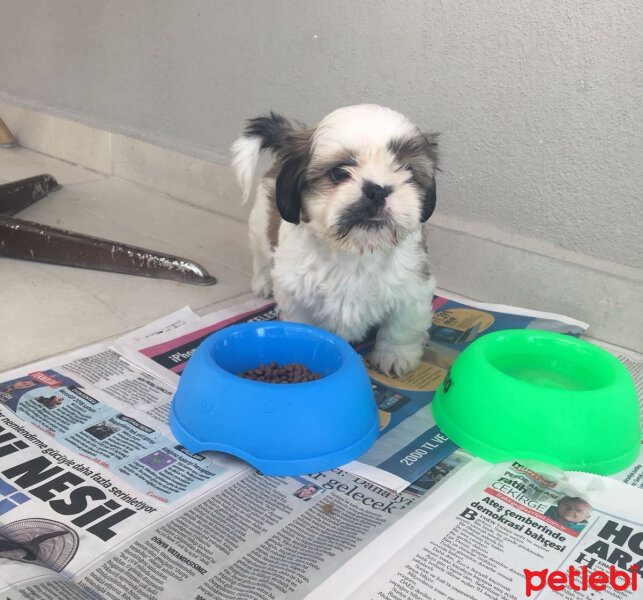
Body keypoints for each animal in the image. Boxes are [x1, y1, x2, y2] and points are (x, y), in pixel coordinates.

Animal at [234, 103, 440, 376]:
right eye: (340, 172)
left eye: (407, 170)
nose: (377, 190)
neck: (355, 250)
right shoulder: (296, 294)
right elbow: (302, 324)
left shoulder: (413, 286)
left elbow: (402, 327)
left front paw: (395, 355)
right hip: (260, 222)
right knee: (260, 255)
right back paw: (262, 282)